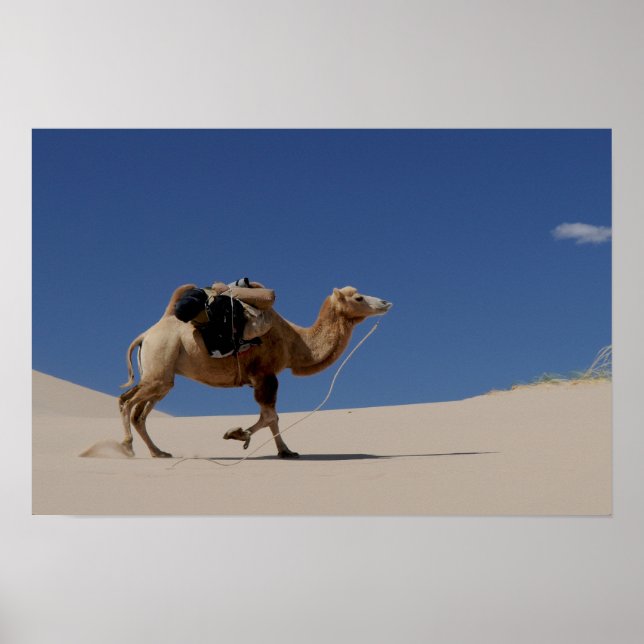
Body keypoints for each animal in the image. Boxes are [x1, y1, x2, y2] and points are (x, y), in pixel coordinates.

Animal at [119, 284, 392, 458]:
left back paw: (158, 452)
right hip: (160, 361)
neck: (296, 342)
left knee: (139, 413)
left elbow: (271, 417)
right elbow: (270, 416)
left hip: (162, 376)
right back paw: (127, 446)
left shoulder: (263, 378)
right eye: (358, 298)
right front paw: (238, 434)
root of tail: (145, 335)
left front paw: (285, 451)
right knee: (126, 402)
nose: (386, 302)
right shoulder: (265, 375)